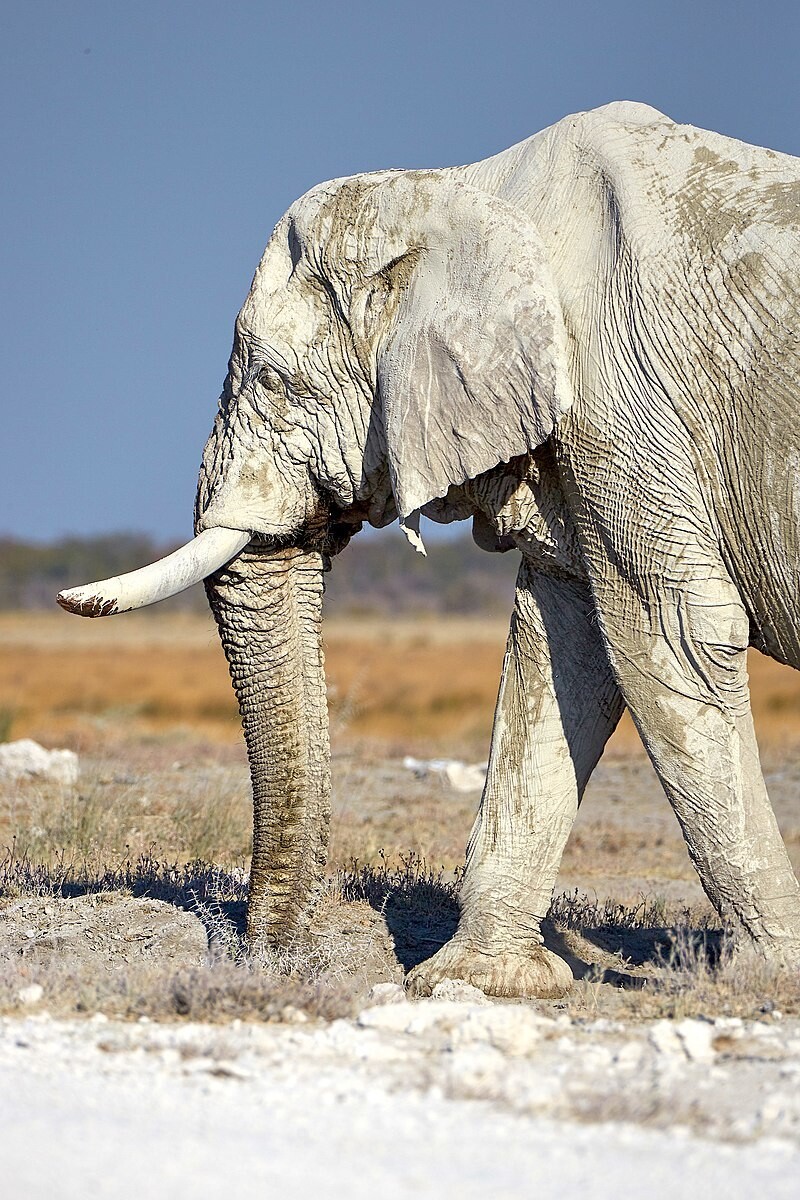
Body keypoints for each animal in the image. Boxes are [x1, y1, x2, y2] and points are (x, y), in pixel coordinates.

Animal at [59, 103, 800, 998]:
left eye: (272, 381)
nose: (275, 960)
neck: (465, 190)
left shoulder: (622, 398)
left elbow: (674, 635)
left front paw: (768, 979)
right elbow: (561, 651)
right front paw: (479, 982)